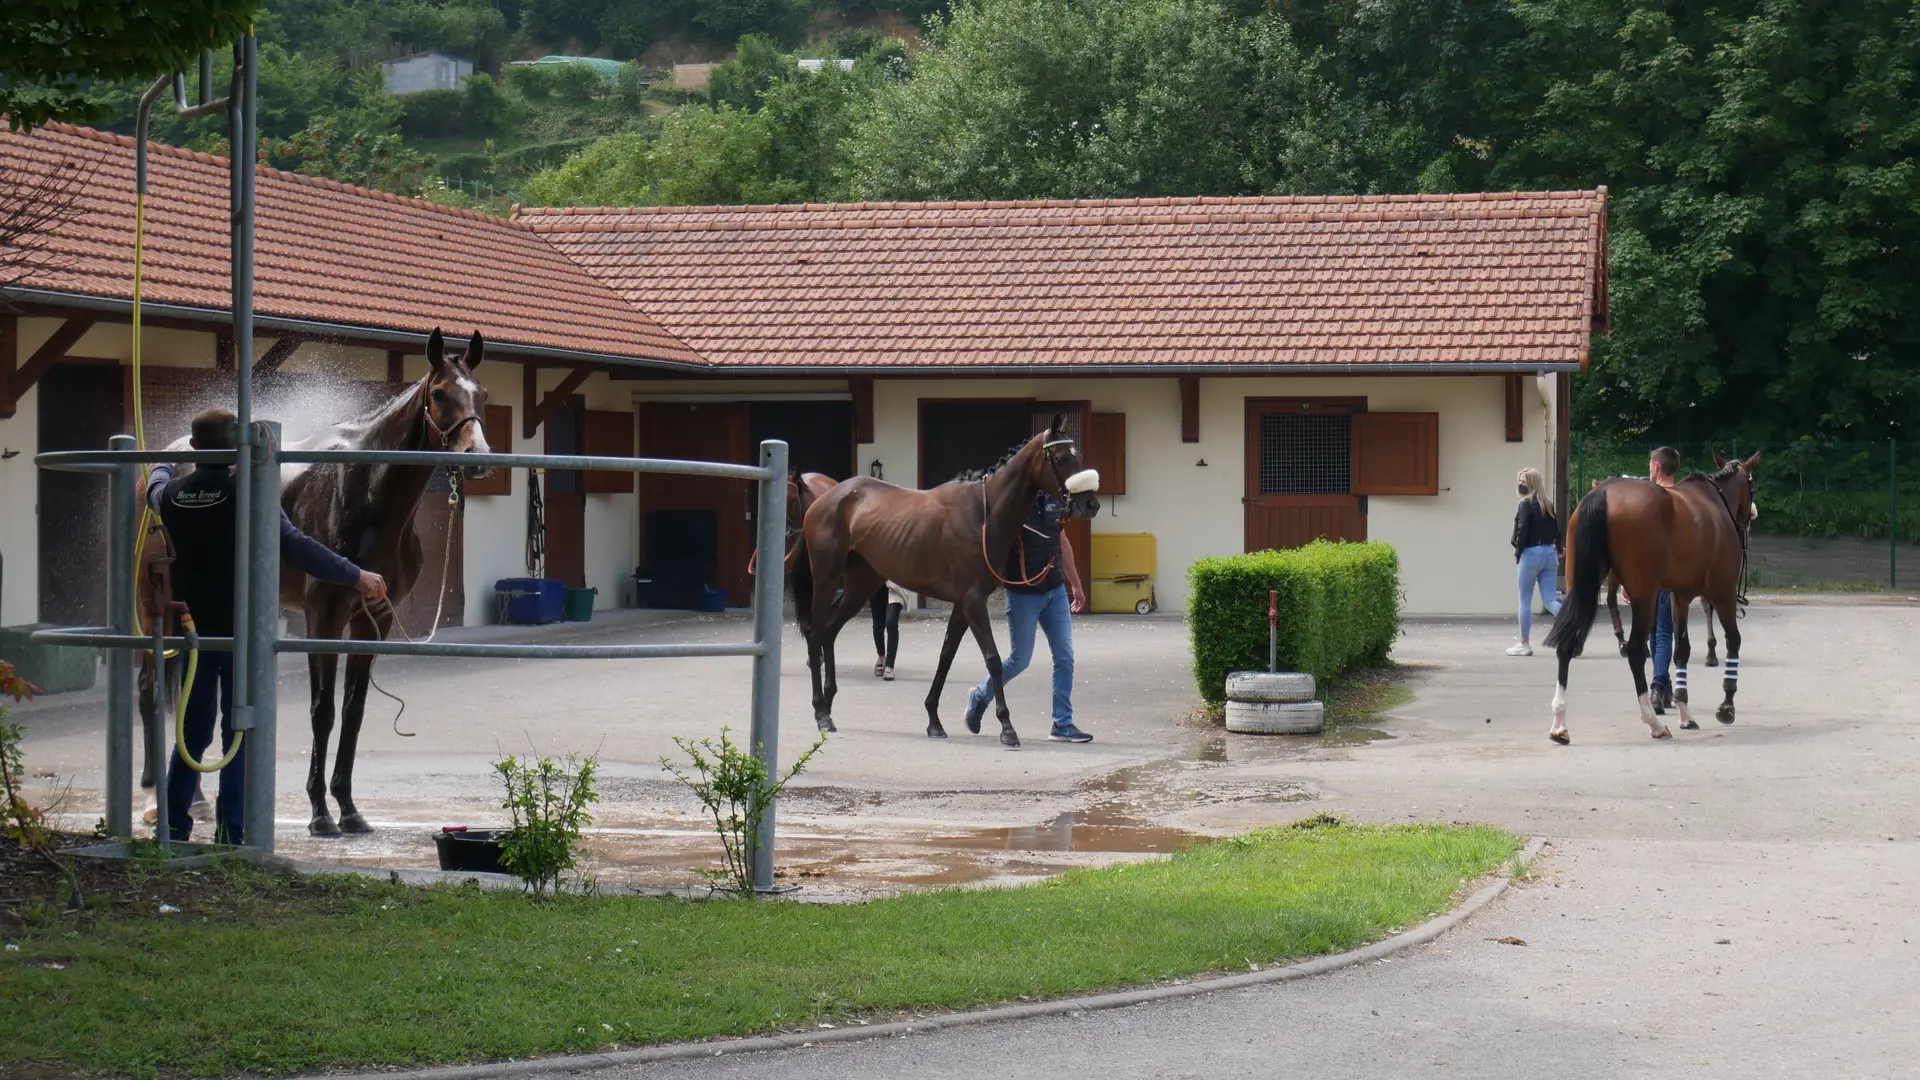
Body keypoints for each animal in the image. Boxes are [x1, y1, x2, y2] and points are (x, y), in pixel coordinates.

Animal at [286, 328, 499, 834]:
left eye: (482, 394)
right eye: (439, 393)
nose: (477, 459)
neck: (364, 492)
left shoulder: (374, 618)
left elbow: (353, 710)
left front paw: (347, 808)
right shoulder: (322, 617)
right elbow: (322, 710)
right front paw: (319, 813)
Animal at [794, 417, 1098, 745]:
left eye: (1078, 454)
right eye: (1062, 458)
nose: (1090, 504)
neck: (983, 514)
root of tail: (824, 499)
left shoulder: (962, 604)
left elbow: (946, 656)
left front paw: (934, 720)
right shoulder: (973, 600)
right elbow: (993, 659)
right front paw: (1006, 727)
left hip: (861, 583)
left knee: (830, 630)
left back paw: (829, 704)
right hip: (826, 577)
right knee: (816, 632)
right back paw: (820, 711)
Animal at [1536, 447, 1758, 737]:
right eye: (1753, 485)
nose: (1751, 516)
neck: (1714, 501)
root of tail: (1602, 493)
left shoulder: (1680, 597)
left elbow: (1681, 649)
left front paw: (1685, 713)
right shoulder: (1723, 594)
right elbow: (1733, 640)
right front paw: (1727, 706)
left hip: (1581, 588)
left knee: (1567, 642)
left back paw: (1560, 724)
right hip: (1645, 596)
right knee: (1636, 650)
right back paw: (1653, 721)